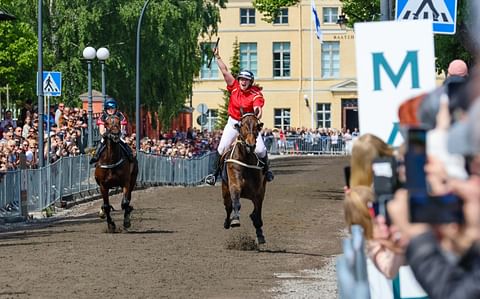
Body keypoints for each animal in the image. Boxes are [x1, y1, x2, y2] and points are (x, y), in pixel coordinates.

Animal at [220, 113, 266, 245]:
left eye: (256, 126)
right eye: (243, 126)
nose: (250, 145)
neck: (246, 158)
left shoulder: (259, 192)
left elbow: (257, 212)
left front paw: (259, 233)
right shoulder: (234, 185)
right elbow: (236, 202)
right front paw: (235, 220)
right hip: (225, 191)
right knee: (228, 207)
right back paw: (227, 222)